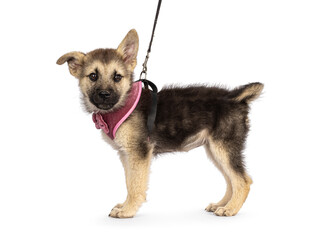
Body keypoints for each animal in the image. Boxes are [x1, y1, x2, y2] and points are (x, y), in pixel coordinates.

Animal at [57, 29, 262, 218]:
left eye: (117, 77)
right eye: (93, 76)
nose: (104, 95)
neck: (122, 104)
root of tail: (234, 97)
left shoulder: (138, 153)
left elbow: (135, 185)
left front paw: (128, 210)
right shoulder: (126, 155)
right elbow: (129, 181)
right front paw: (125, 205)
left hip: (223, 148)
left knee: (243, 180)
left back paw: (230, 208)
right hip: (215, 150)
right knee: (231, 179)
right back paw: (222, 204)